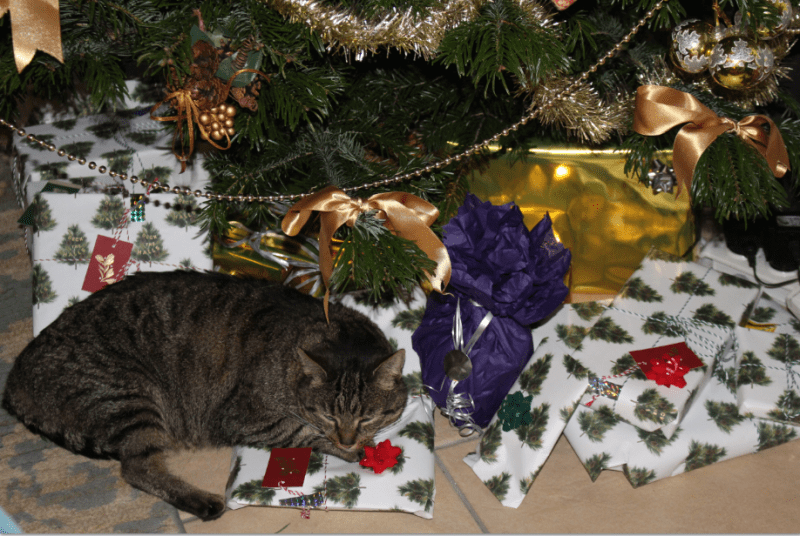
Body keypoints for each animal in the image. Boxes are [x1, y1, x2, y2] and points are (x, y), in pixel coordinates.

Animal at [2, 271, 407, 521]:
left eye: (367, 416)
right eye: (329, 415)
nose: (348, 438)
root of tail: (15, 376)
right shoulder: (244, 416)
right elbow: (301, 431)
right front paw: (354, 450)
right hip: (131, 397)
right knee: (136, 468)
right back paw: (204, 502)